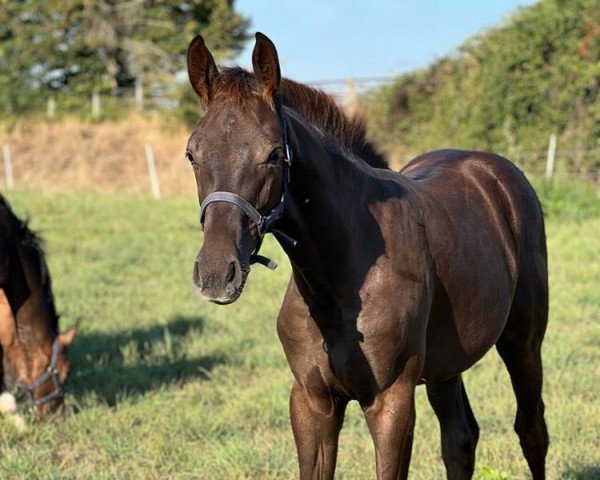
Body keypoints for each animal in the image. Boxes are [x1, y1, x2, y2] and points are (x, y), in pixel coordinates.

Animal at [185, 31, 552, 478]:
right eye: (192, 154)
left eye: (273, 153)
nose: (216, 274)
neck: (335, 285)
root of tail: (497, 173)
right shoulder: (311, 402)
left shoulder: (391, 402)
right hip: (446, 362)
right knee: (460, 440)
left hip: (523, 342)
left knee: (531, 430)